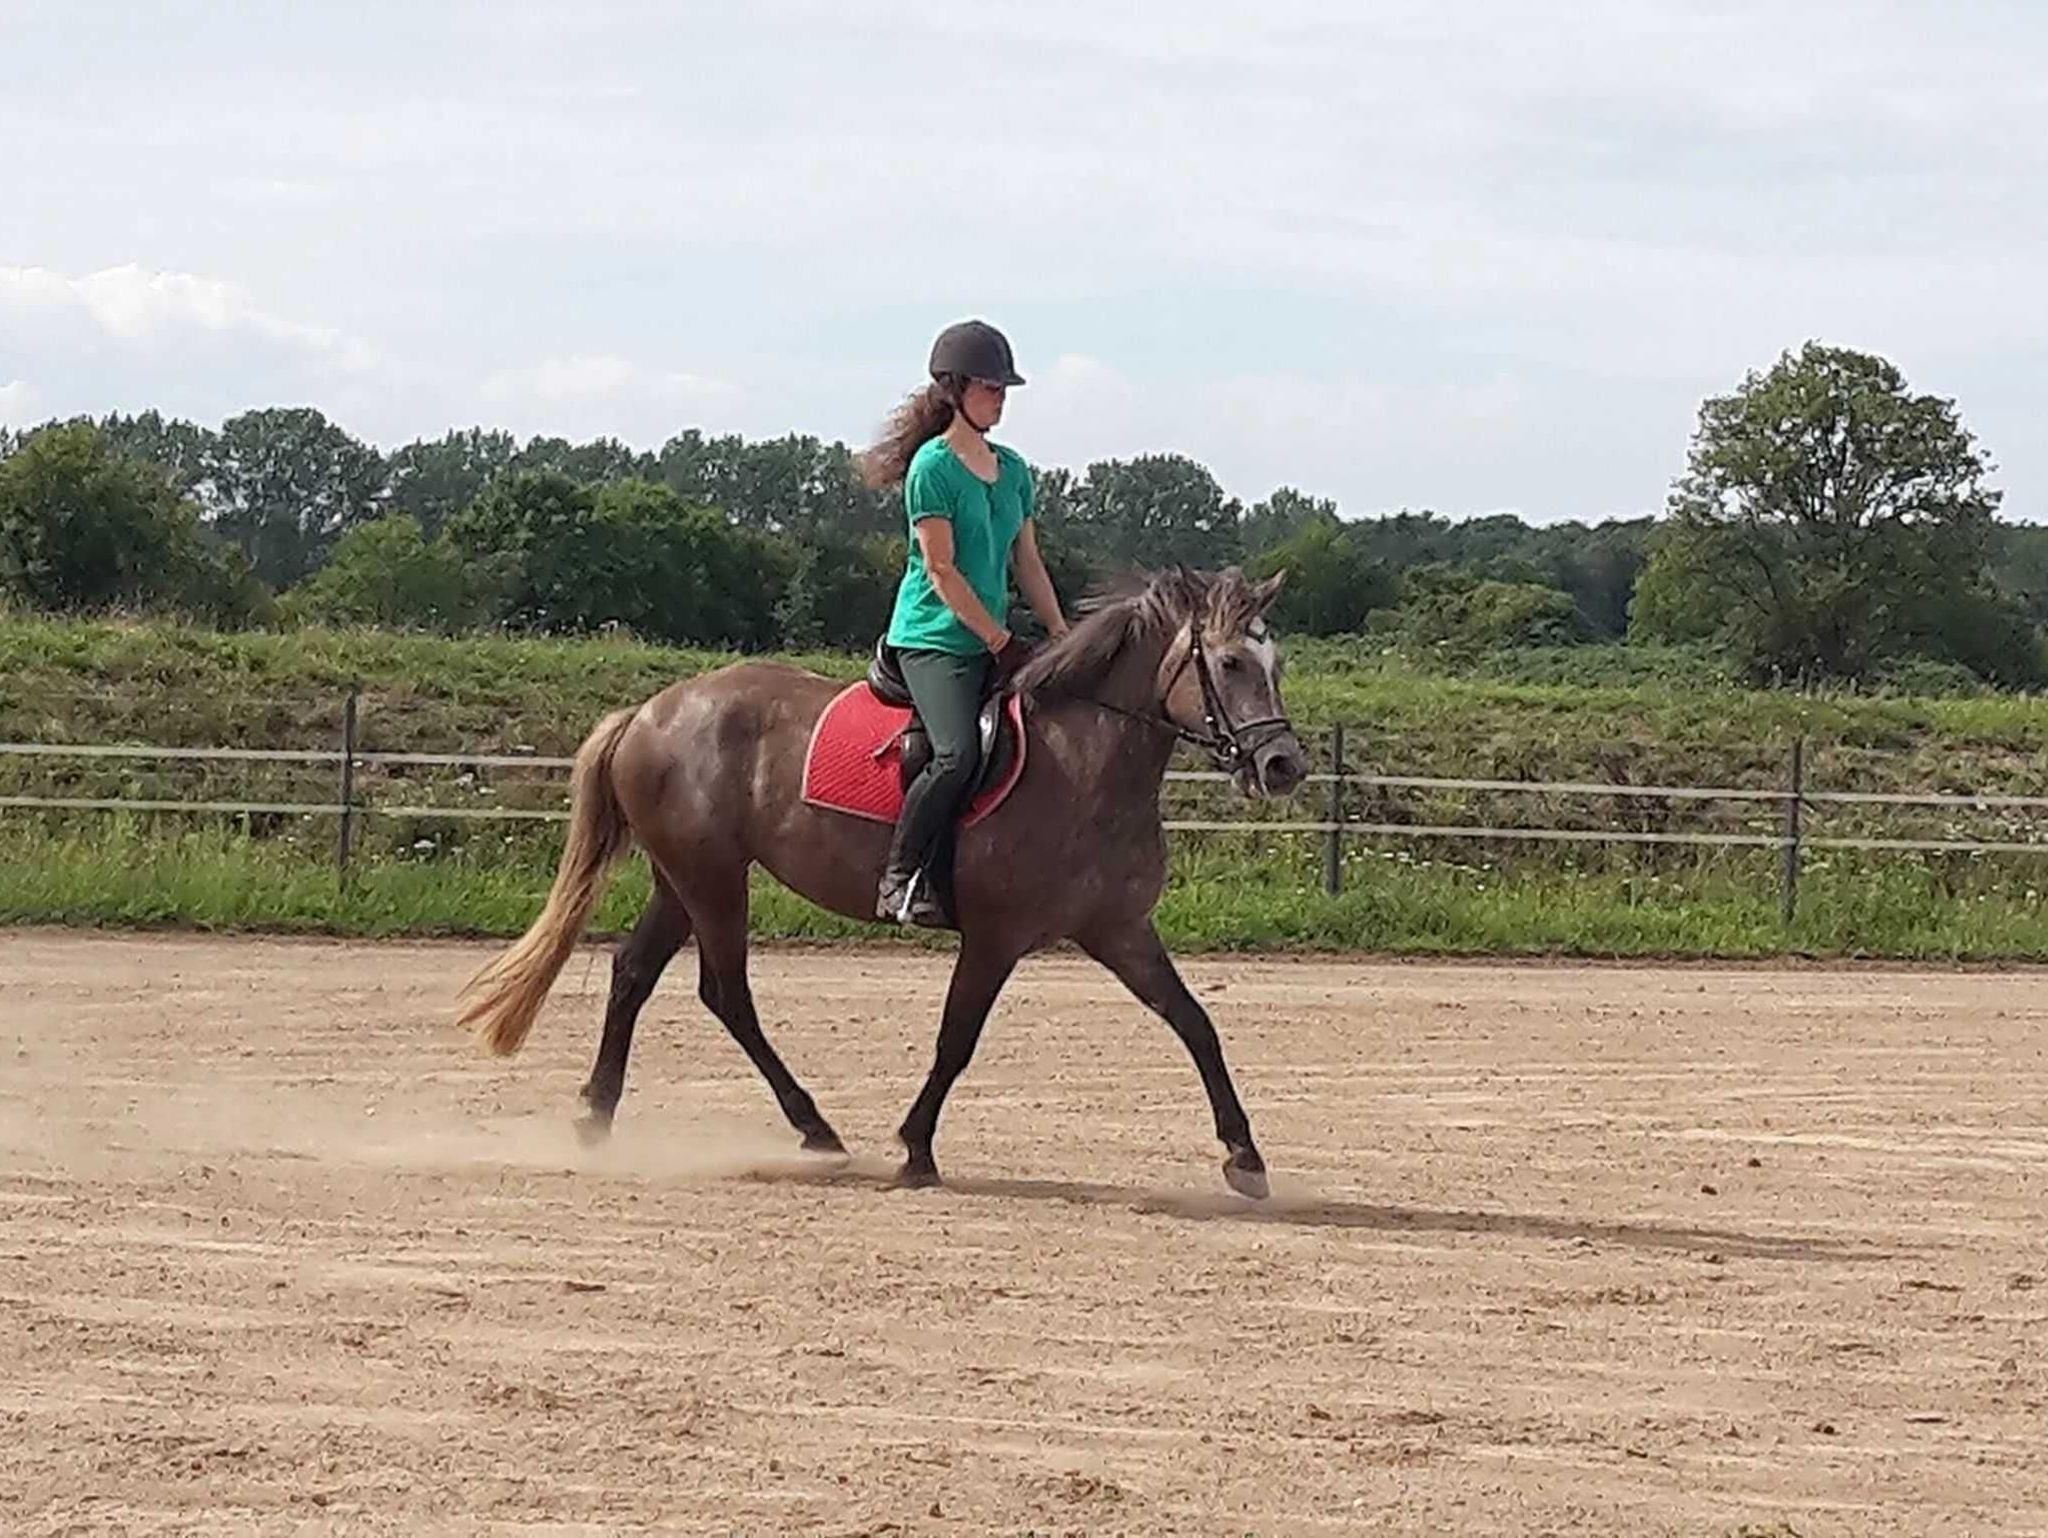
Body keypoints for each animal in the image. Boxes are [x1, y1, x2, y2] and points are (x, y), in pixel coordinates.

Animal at [456, 564, 1313, 1196]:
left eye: (1276, 666)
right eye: (1231, 663)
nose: (1283, 765)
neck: (1087, 760)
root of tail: (648, 711)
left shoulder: (1119, 930)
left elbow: (1195, 1023)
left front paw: (1244, 1157)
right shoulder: (996, 937)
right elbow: (956, 1041)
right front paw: (915, 1147)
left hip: (683, 879)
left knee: (635, 975)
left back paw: (598, 1116)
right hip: (711, 881)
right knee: (726, 994)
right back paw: (814, 1129)